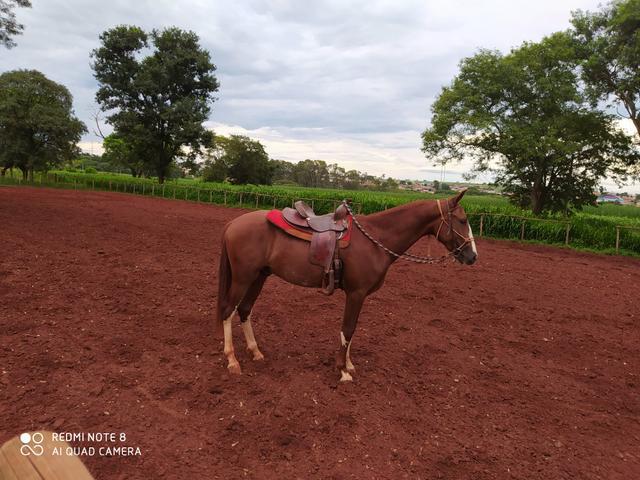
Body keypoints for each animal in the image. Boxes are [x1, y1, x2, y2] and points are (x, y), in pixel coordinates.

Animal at [215, 189, 476, 380]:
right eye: (462, 220)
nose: (472, 256)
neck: (375, 239)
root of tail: (232, 224)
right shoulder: (356, 293)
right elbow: (348, 329)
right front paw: (342, 371)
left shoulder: (357, 295)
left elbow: (352, 330)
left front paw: (349, 365)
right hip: (243, 278)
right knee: (228, 310)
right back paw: (232, 360)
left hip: (259, 276)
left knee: (245, 310)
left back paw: (255, 351)